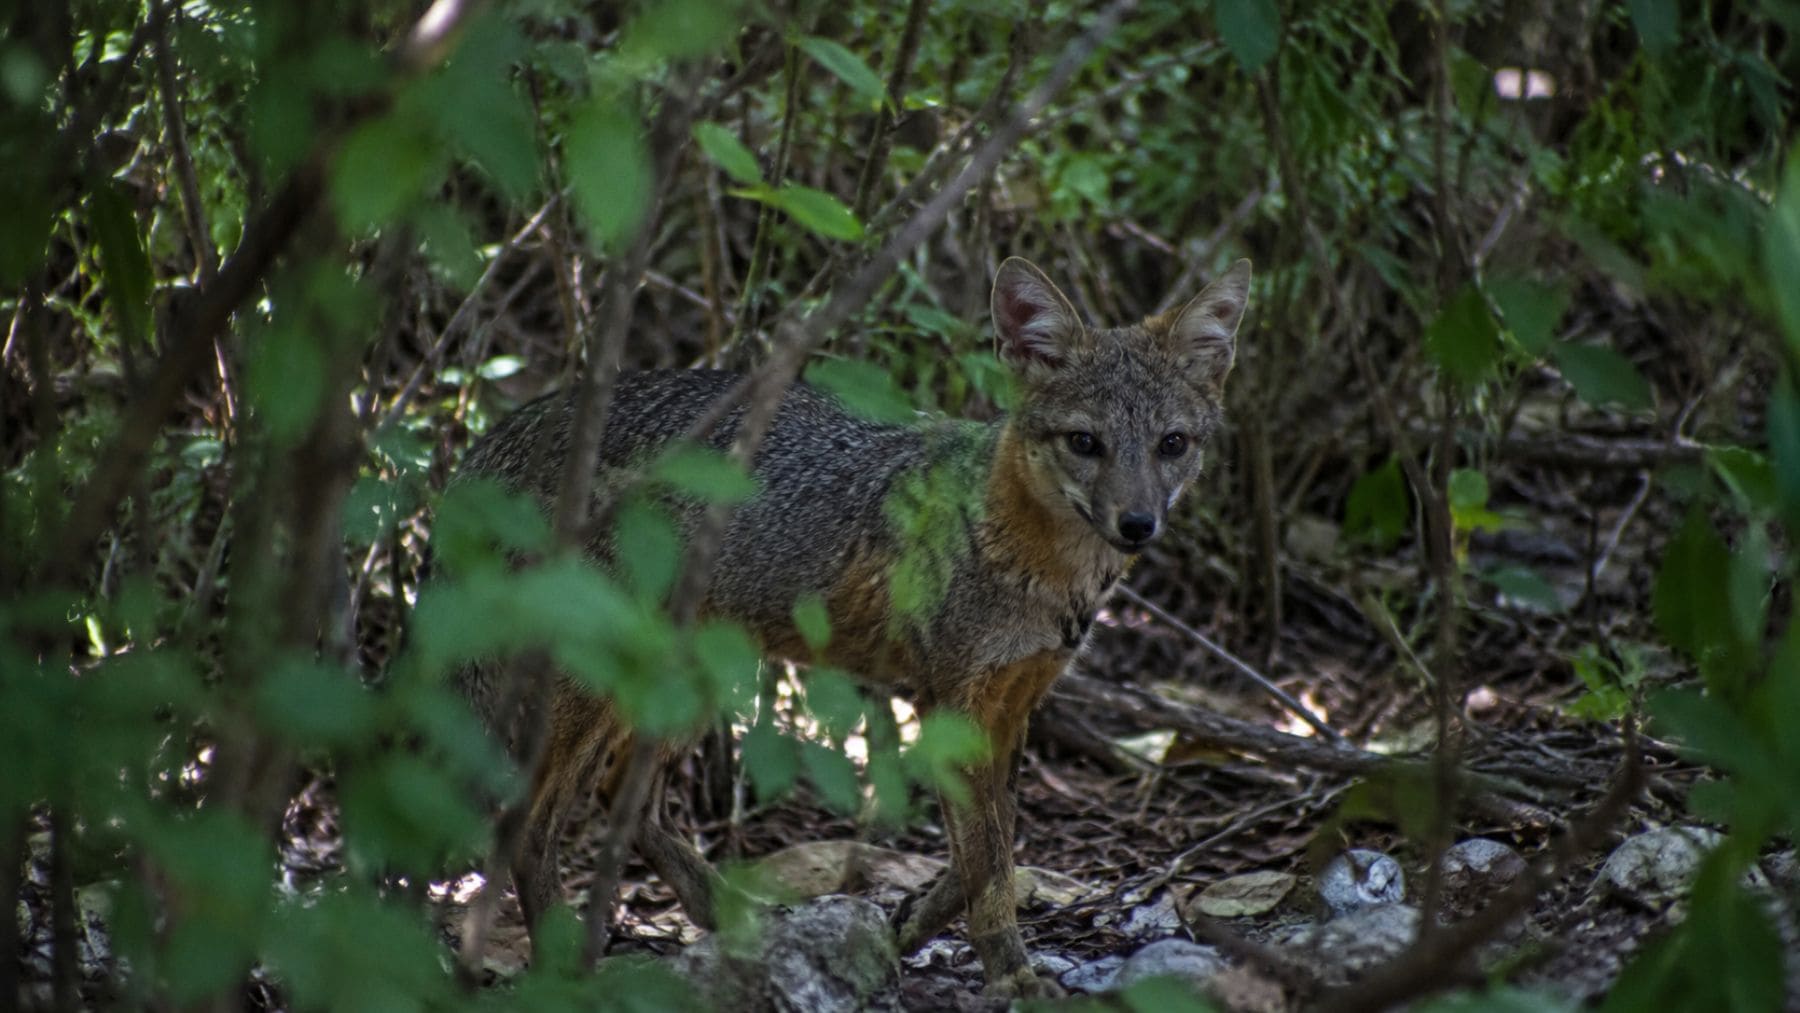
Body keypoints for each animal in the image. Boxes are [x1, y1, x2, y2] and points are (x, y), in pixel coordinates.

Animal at [451, 255, 1252, 997]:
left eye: (1172, 444)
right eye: (1085, 443)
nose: (1137, 524)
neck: (1036, 566)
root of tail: (504, 429)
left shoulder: (1012, 706)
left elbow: (988, 850)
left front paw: (912, 924)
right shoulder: (952, 701)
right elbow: (988, 859)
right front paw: (1010, 970)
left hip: (695, 676)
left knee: (625, 801)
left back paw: (734, 923)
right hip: (605, 688)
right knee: (529, 825)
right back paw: (568, 967)